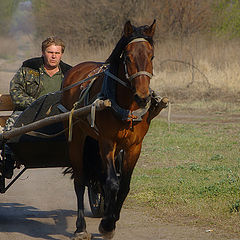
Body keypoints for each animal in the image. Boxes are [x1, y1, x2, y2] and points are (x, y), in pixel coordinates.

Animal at [62, 20, 163, 240]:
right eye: (128, 57)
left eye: (151, 56)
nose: (143, 97)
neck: (127, 107)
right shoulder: (107, 142)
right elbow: (112, 182)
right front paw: (107, 224)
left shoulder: (134, 146)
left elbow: (123, 185)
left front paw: (112, 218)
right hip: (77, 138)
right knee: (80, 180)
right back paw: (81, 227)